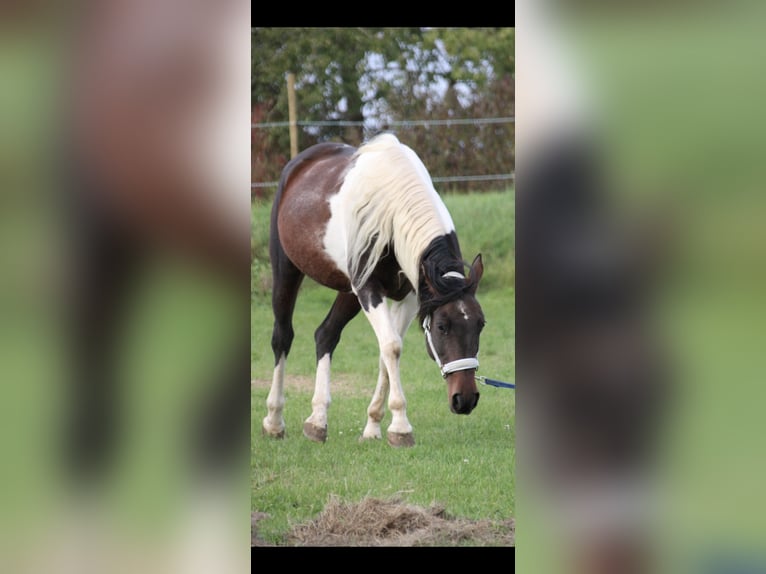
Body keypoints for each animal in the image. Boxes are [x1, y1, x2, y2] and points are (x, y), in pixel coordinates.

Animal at [262, 133, 485, 447]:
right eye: (442, 327)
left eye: (480, 324)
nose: (464, 399)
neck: (392, 211)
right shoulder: (369, 288)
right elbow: (391, 346)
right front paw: (401, 427)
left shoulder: (411, 296)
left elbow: (387, 350)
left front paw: (374, 426)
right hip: (288, 270)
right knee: (282, 337)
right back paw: (274, 420)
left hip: (348, 292)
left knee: (325, 335)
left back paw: (317, 420)